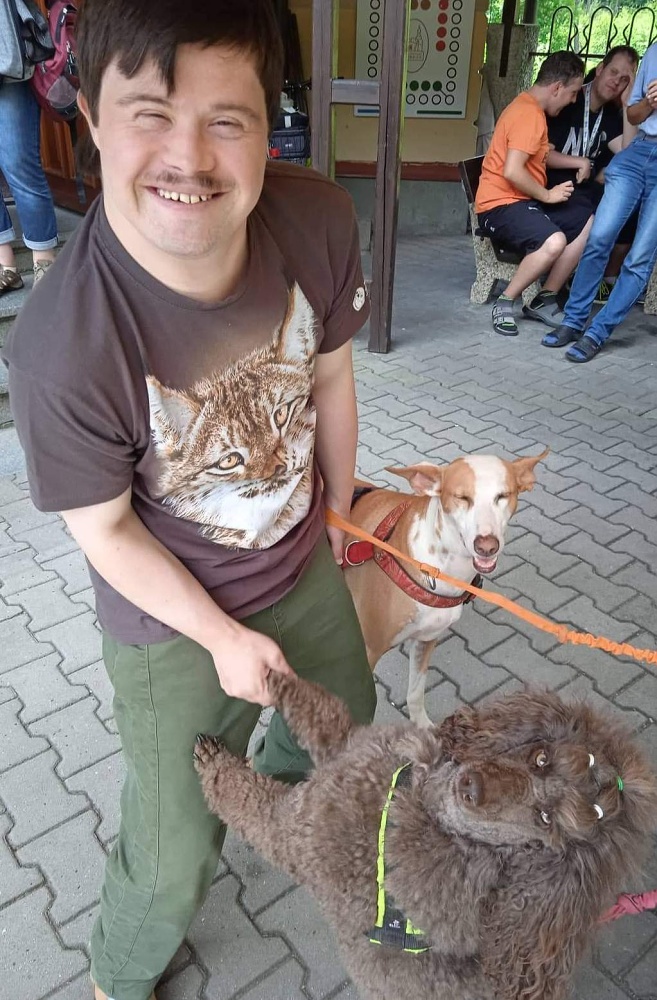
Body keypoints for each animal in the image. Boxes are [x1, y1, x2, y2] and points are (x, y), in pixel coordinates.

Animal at [195, 674, 657, 1000]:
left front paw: (214, 762)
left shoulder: (298, 830)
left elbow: (244, 798)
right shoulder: (348, 747)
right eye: (539, 758)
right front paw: (265, 670)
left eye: (545, 820)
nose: (473, 787)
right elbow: (318, 710)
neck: (415, 802)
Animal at [343, 450, 548, 727]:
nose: (486, 546)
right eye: (461, 497)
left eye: (503, 496)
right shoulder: (367, 650)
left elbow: (415, 693)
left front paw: (422, 727)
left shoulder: (428, 638)